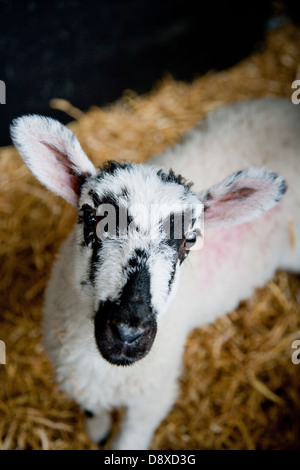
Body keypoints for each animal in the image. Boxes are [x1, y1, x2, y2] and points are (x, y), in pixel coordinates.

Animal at [9, 98, 300, 448]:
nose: (128, 332)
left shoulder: (152, 400)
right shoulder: (77, 377)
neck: (104, 368)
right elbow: (93, 412)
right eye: (91, 218)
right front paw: (97, 431)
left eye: (189, 241)